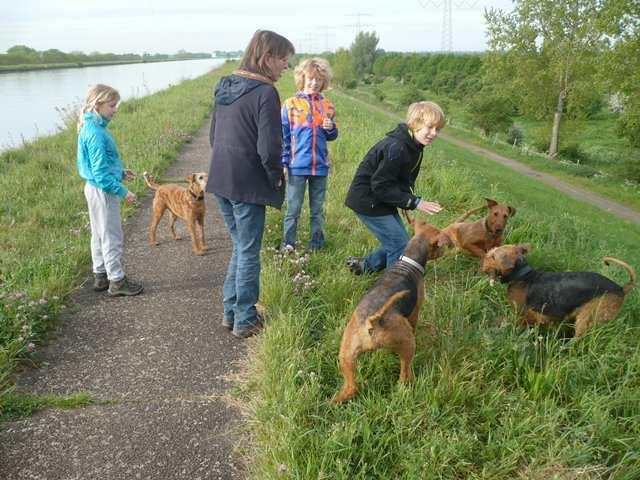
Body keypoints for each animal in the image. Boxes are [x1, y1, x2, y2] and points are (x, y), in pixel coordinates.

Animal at [332, 219, 452, 404]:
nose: (444, 251)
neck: (408, 262)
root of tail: (373, 321)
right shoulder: (415, 312)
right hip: (408, 344)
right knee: (403, 376)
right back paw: (409, 387)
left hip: (346, 355)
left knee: (350, 388)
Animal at [480, 244, 636, 338]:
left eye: (493, 256)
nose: (482, 264)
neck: (523, 275)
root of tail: (621, 289)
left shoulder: (520, 314)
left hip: (588, 319)